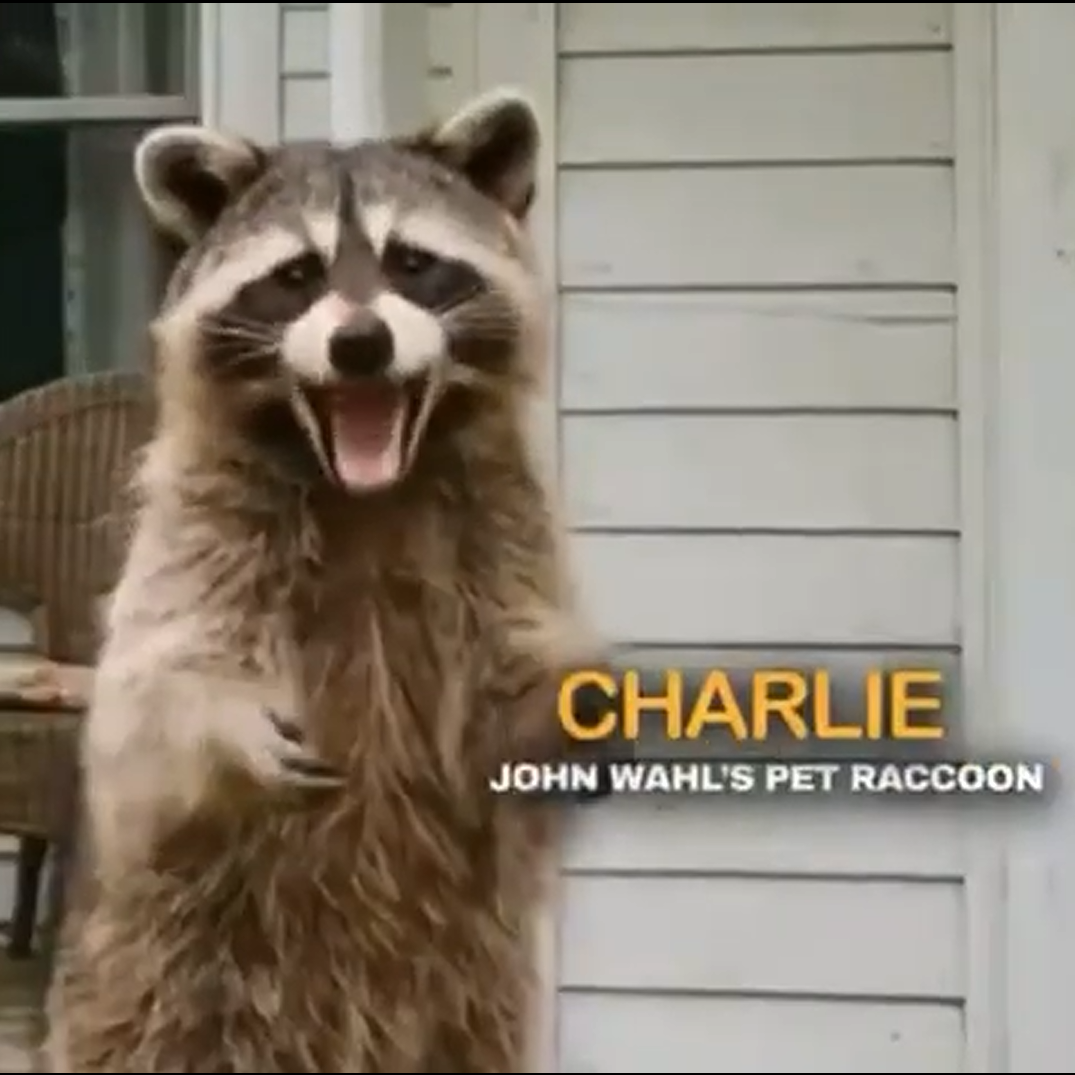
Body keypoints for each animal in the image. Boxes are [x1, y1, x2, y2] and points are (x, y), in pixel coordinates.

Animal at [43, 89, 601, 1073]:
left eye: (412, 263)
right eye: (297, 275)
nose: (360, 343)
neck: (367, 491)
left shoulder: (508, 525)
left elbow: (519, 647)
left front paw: (564, 697)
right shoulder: (196, 527)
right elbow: (155, 683)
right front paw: (225, 721)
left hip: (474, 998)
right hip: (159, 988)